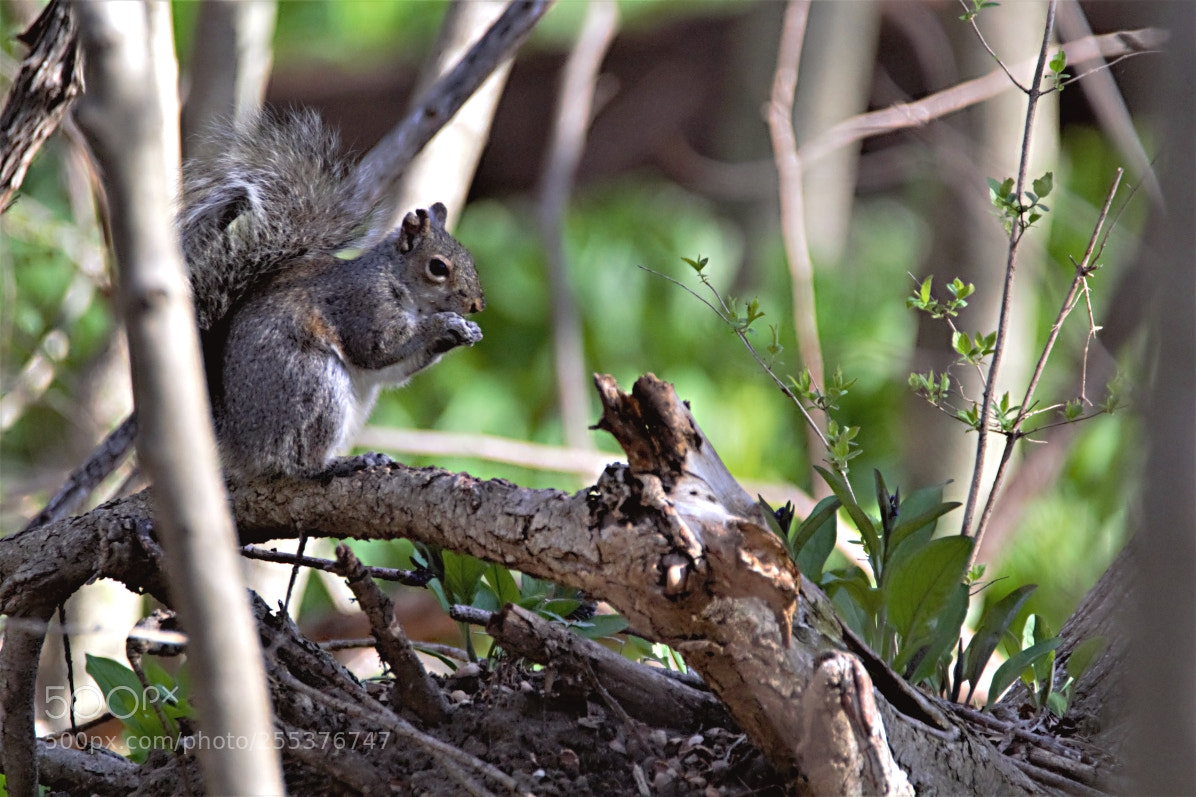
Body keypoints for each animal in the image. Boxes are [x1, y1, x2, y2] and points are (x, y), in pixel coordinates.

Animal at [180, 109, 484, 480]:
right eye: (438, 267)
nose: (477, 304)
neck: (396, 280)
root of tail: (238, 444)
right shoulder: (363, 305)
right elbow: (380, 348)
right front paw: (445, 324)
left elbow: (394, 369)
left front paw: (466, 331)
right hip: (312, 385)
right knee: (295, 462)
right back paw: (344, 462)